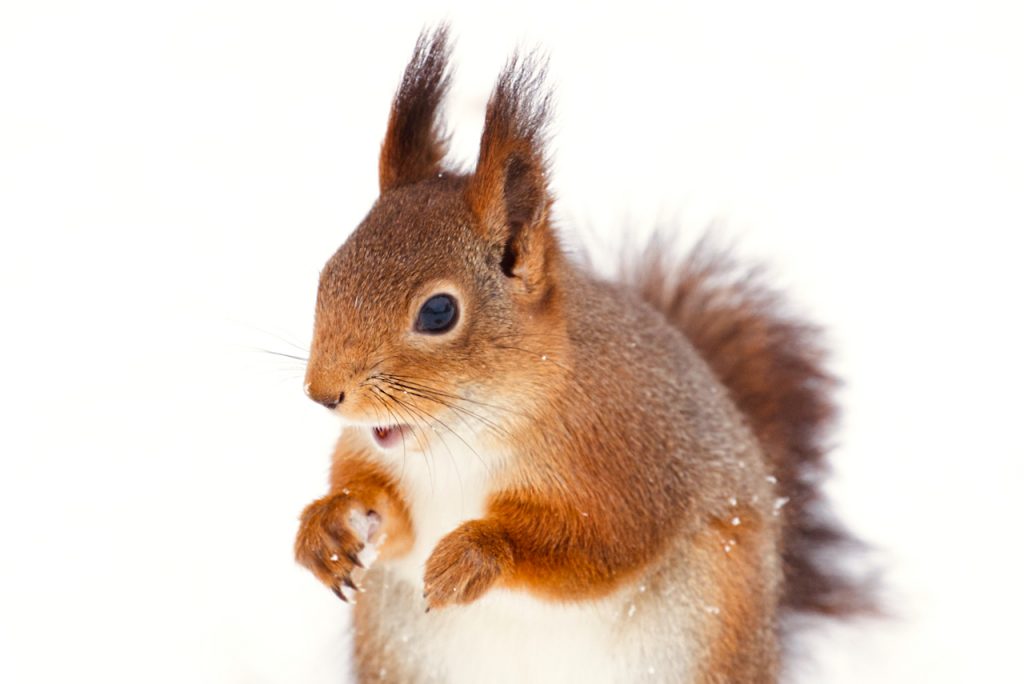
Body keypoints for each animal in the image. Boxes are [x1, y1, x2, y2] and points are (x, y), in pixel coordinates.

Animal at [292, 25, 868, 679]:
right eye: (328, 273)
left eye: (438, 312)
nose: (323, 394)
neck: (465, 439)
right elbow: (389, 518)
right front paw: (328, 525)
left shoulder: (624, 461)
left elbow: (596, 546)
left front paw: (475, 554)